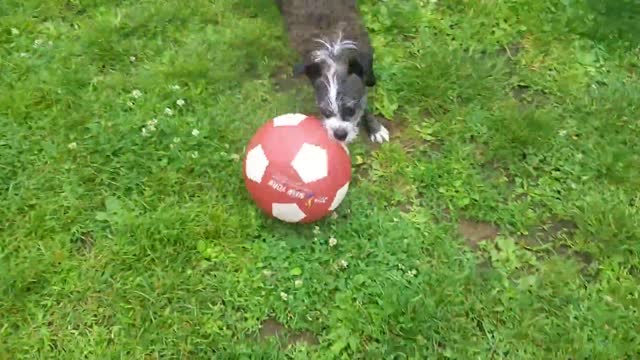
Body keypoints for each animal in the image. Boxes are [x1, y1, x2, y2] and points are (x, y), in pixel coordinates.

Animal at [272, 0, 388, 143]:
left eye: (351, 110)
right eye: (324, 112)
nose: (339, 134)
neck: (334, 54)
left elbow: (364, 100)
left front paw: (375, 128)